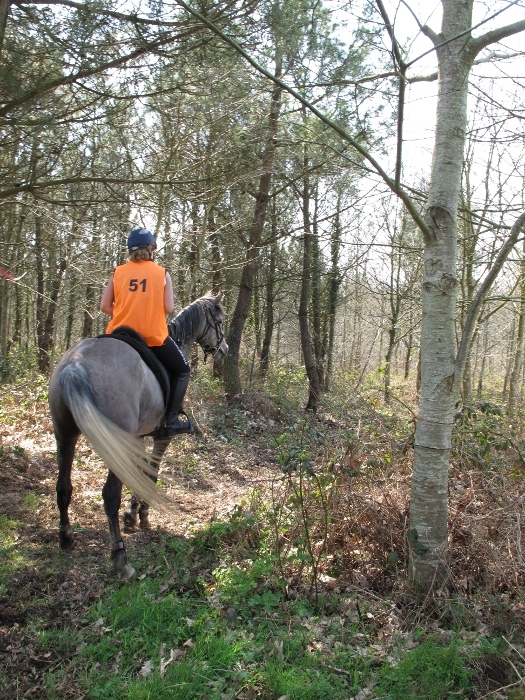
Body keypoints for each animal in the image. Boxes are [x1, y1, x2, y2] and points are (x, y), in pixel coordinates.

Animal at [48, 292, 228, 580]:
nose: (224, 350)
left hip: (65, 435)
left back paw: (66, 537)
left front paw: (131, 513)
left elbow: (138, 472)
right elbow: (151, 473)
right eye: (219, 320)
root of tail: (75, 366)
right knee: (110, 494)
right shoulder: (161, 436)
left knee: (63, 487)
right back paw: (120, 558)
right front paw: (141, 513)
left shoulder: (138, 437)